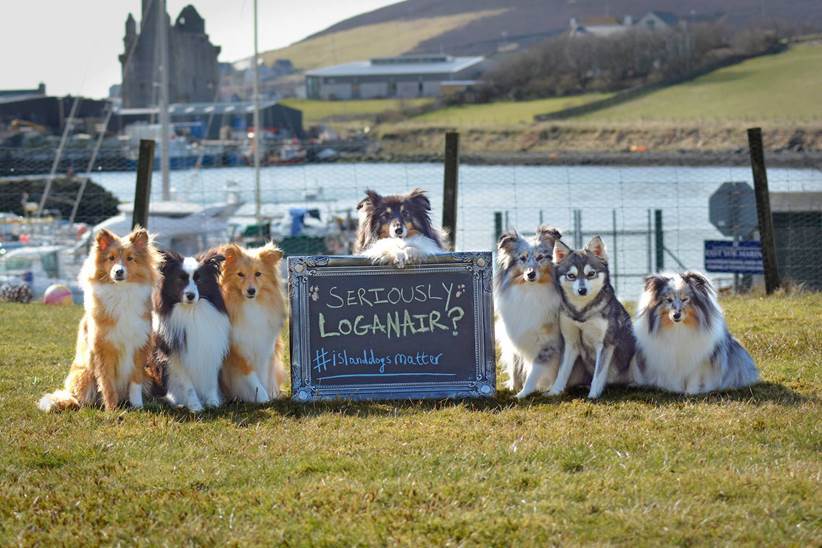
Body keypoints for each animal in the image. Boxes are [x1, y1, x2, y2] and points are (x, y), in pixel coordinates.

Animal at [496, 227, 592, 398]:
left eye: (540, 257)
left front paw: (522, 393)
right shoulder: (514, 334)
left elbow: (533, 372)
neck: (531, 291)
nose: (530, 274)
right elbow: (515, 366)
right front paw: (514, 387)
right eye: (522, 258)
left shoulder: (547, 344)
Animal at [552, 235, 636, 398]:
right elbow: (562, 372)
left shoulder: (605, 344)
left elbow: (598, 374)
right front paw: (554, 391)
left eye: (590, 274)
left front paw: (593, 395)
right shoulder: (571, 342)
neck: (582, 313)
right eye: (571, 276)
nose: (582, 290)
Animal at [636, 270, 764, 394]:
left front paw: (691, 392)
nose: (676, 315)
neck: (679, 328)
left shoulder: (699, 360)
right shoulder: (670, 358)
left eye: (685, 299)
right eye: (669, 300)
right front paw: (675, 389)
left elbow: (694, 377)